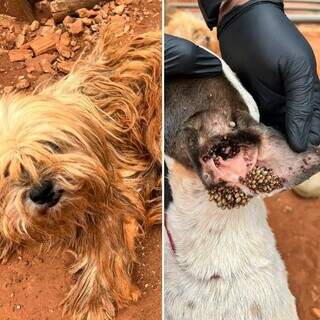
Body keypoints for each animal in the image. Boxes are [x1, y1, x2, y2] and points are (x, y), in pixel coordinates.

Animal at [0, 28, 161, 318]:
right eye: (7, 172)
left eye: (51, 146)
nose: (42, 192)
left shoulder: (118, 188)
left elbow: (105, 245)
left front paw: (93, 299)